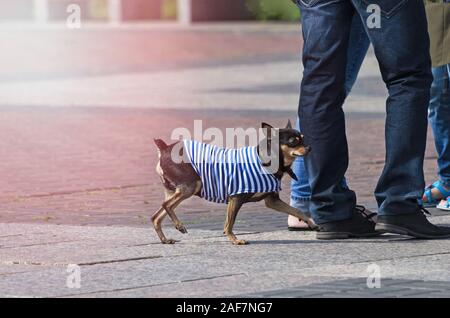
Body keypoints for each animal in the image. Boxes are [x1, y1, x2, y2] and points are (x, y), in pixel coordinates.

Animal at [151, 120, 316, 245]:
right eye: (293, 141)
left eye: (303, 138)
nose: (309, 147)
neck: (265, 160)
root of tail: (165, 148)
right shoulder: (236, 198)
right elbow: (229, 223)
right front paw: (234, 240)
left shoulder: (272, 201)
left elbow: (296, 210)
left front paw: (311, 222)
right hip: (191, 186)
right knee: (166, 205)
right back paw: (179, 225)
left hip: (176, 190)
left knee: (156, 216)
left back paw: (165, 239)